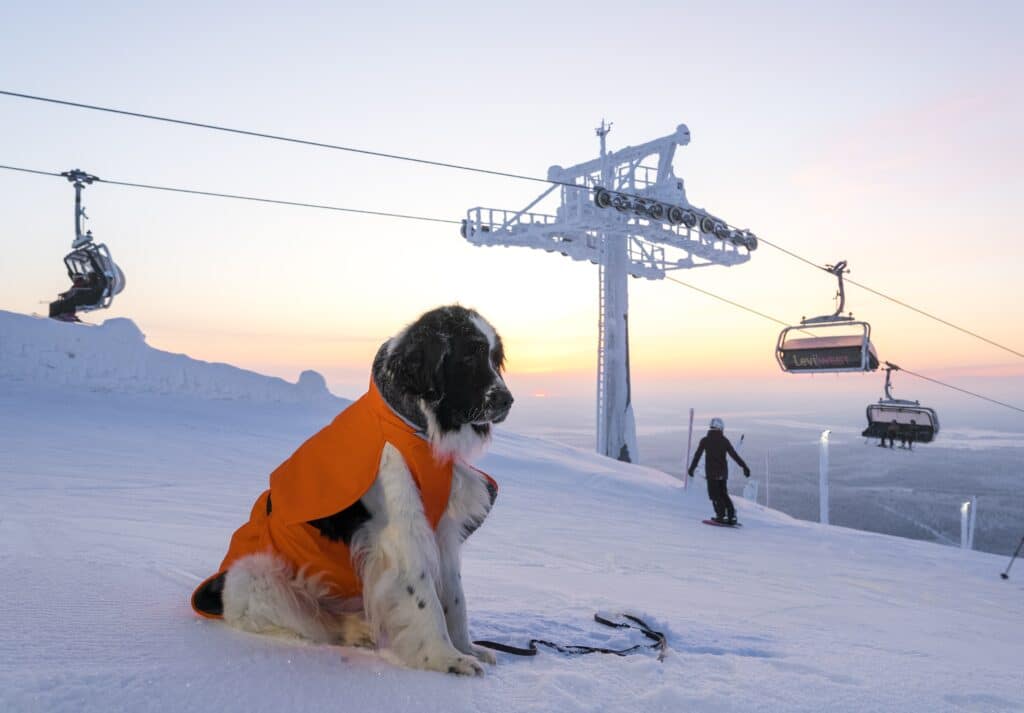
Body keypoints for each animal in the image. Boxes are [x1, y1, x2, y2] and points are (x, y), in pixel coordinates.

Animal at [208, 305, 512, 672]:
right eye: (469, 356)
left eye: (495, 359)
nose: (508, 400)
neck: (414, 427)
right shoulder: (403, 531)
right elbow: (425, 598)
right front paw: (444, 658)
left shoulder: (443, 530)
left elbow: (454, 598)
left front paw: (466, 648)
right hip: (253, 573)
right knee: (313, 620)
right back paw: (356, 631)